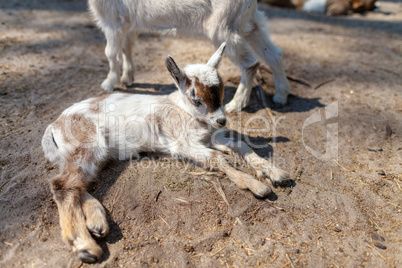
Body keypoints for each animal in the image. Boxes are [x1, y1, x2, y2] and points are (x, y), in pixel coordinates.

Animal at [41, 44, 288, 264]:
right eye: (196, 99)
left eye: (221, 92)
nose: (221, 120)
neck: (184, 111)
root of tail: (53, 127)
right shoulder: (182, 143)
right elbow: (218, 158)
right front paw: (255, 185)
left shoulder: (211, 138)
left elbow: (242, 146)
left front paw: (276, 173)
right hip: (86, 143)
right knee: (61, 185)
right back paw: (85, 247)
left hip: (94, 154)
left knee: (77, 184)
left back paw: (97, 224)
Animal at [88, 0, 290, 112]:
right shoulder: (131, 23)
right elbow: (127, 47)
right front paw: (127, 78)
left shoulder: (112, 21)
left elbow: (111, 53)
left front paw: (108, 84)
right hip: (249, 21)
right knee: (273, 54)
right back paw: (281, 96)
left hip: (222, 27)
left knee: (251, 63)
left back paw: (236, 105)